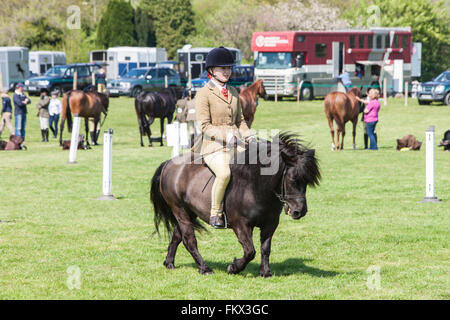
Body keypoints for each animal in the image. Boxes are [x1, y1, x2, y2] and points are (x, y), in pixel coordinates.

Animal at [151, 132, 320, 278]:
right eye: (293, 179)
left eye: (306, 181)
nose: (300, 211)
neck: (255, 185)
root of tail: (169, 163)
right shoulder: (240, 224)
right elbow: (250, 251)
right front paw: (234, 267)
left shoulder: (270, 224)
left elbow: (265, 248)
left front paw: (265, 272)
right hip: (179, 210)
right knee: (189, 240)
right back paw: (205, 268)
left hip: (190, 212)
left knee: (177, 236)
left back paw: (169, 263)